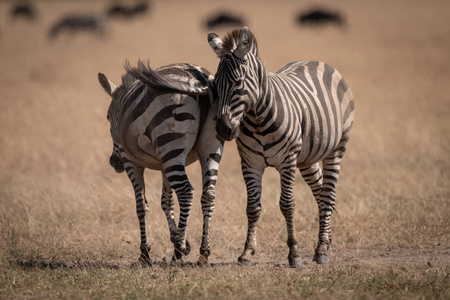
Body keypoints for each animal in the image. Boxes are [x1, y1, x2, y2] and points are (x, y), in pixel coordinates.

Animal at [99, 61, 224, 268]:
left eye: (108, 117)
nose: (113, 163)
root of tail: (201, 79)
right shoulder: (164, 163)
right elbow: (166, 202)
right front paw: (180, 238)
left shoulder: (131, 161)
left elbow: (141, 205)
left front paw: (145, 253)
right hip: (209, 146)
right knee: (208, 195)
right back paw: (203, 253)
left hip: (170, 140)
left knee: (186, 192)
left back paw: (178, 252)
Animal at [207, 27, 356, 268]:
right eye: (214, 85)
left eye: (238, 83)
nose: (223, 129)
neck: (257, 118)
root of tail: (317, 61)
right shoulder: (250, 163)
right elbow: (253, 207)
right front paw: (247, 252)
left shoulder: (287, 161)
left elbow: (287, 204)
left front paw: (294, 253)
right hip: (307, 158)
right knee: (320, 191)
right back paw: (326, 239)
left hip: (336, 150)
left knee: (328, 195)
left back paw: (322, 250)